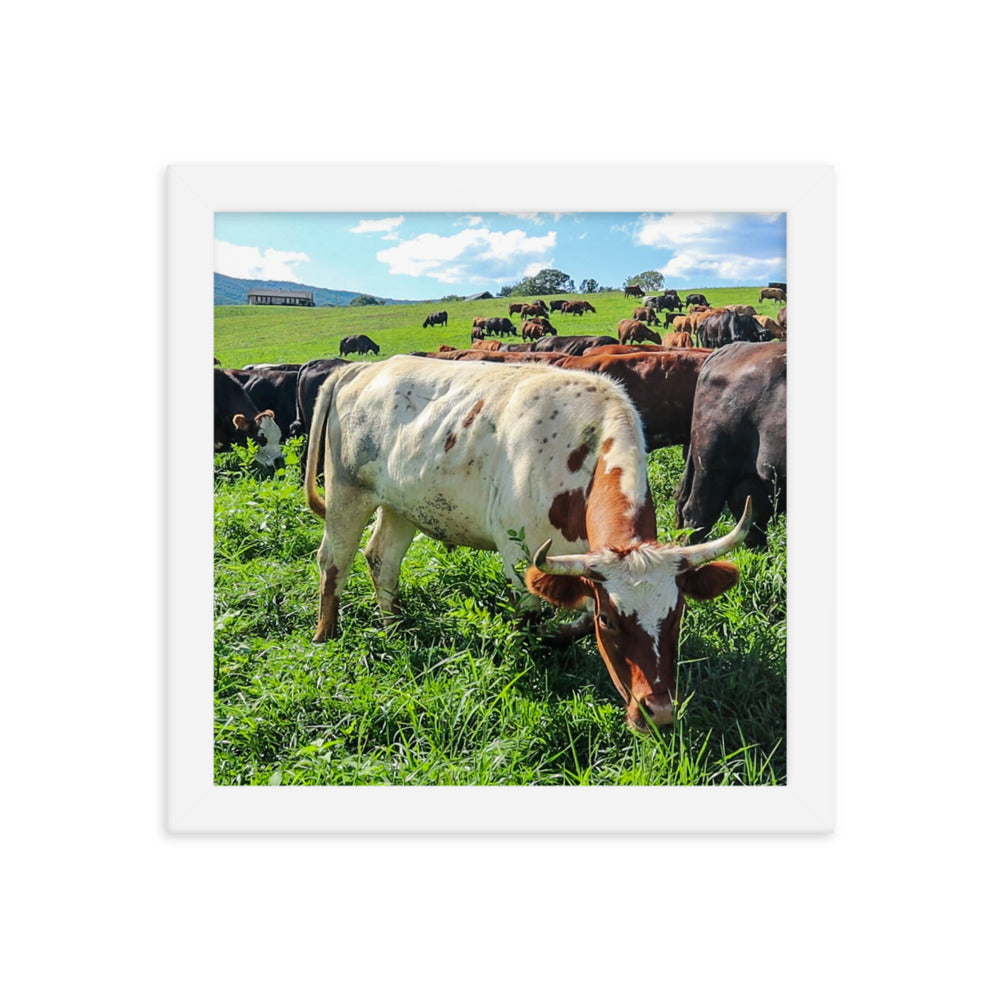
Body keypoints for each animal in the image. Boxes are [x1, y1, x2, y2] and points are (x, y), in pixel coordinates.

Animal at [304, 355, 751, 730]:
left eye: (677, 614)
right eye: (611, 621)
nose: (657, 713)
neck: (582, 453)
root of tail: (362, 368)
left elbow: (575, 619)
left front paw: (559, 636)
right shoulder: (520, 556)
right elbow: (531, 619)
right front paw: (533, 657)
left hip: (400, 506)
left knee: (382, 560)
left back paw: (394, 626)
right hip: (347, 494)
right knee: (333, 562)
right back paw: (326, 636)